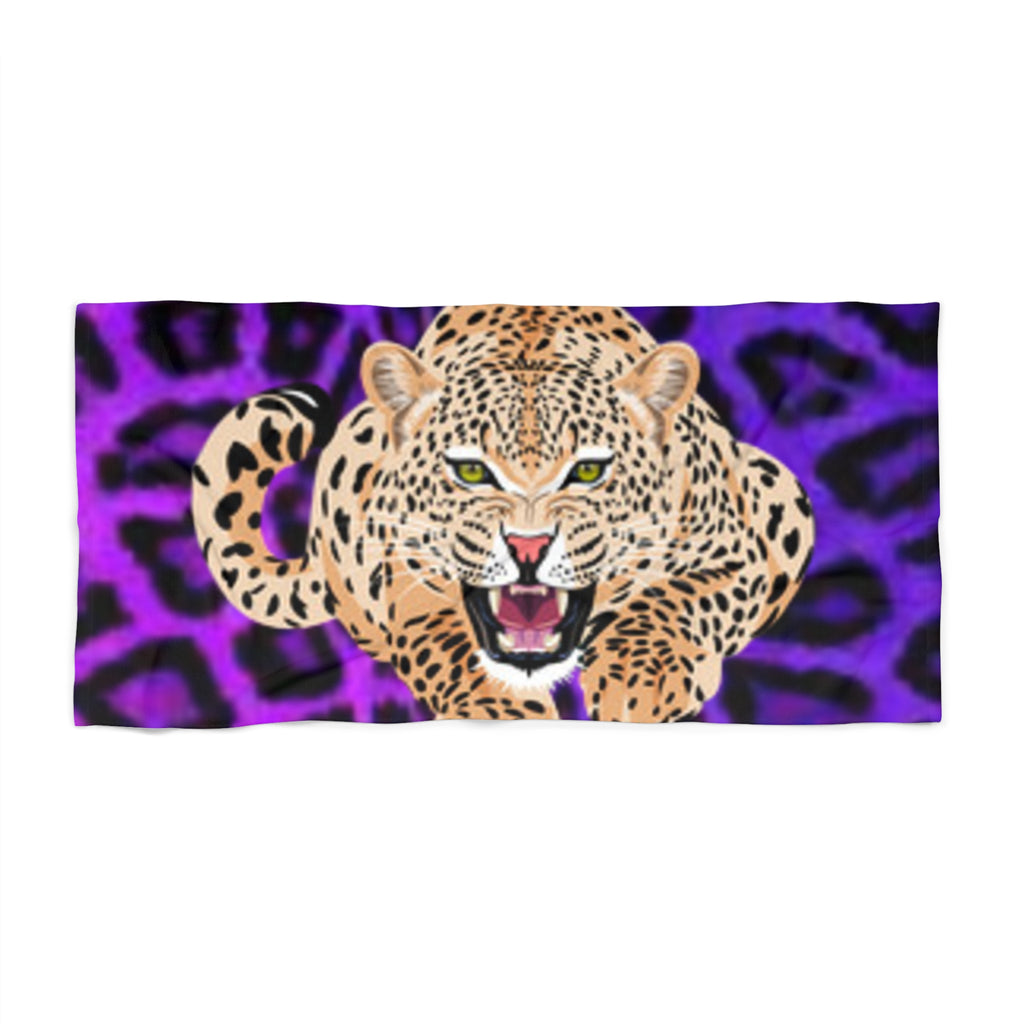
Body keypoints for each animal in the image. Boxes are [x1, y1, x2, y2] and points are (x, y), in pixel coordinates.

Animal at [190, 305, 815, 722]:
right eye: (471, 471)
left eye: (588, 471)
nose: (528, 546)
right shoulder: (404, 572)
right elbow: (445, 642)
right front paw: (501, 708)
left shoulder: (735, 551)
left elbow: (677, 600)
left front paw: (643, 678)